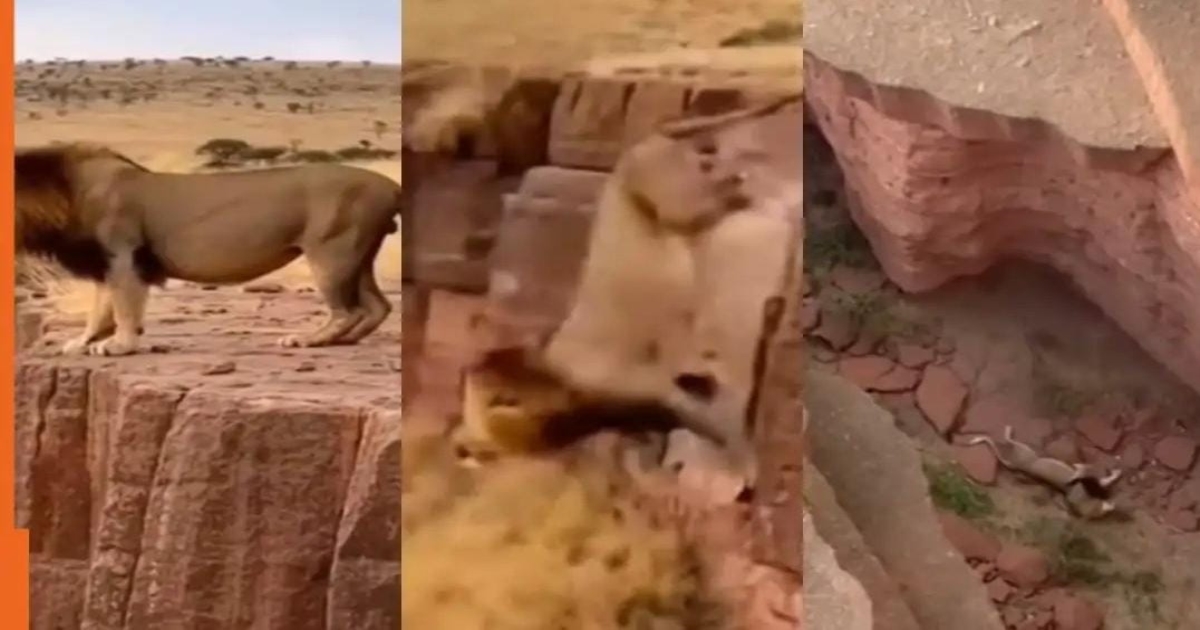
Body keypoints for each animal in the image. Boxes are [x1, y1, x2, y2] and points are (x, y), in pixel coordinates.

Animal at [15, 142, 401, 356]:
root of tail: (393, 186)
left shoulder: (123, 256)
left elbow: (123, 307)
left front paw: (120, 345)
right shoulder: (103, 263)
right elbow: (100, 309)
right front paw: (84, 342)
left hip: (330, 254)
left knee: (348, 310)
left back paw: (310, 340)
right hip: (357, 255)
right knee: (377, 307)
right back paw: (344, 341)